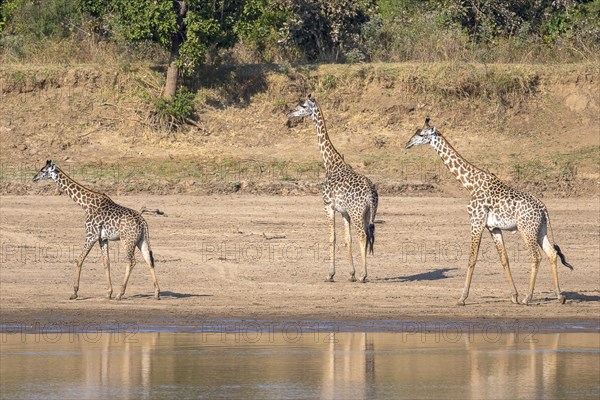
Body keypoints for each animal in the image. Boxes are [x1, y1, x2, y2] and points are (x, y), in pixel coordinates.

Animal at [32, 159, 159, 300]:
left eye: (43, 170)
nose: (34, 178)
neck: (86, 204)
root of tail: (143, 223)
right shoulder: (102, 238)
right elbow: (106, 263)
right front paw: (108, 292)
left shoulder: (90, 235)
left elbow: (79, 259)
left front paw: (74, 292)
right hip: (142, 240)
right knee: (149, 260)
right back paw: (157, 293)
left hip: (127, 240)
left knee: (132, 261)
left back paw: (120, 294)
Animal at [288, 95, 378, 282]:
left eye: (303, 105)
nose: (290, 112)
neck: (331, 163)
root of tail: (370, 193)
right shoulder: (344, 212)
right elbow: (346, 239)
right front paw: (351, 273)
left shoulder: (328, 205)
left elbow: (332, 238)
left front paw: (330, 274)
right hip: (368, 213)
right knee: (368, 235)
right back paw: (361, 274)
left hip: (357, 212)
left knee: (362, 235)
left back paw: (364, 275)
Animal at [406, 117, 576, 304]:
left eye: (421, 134)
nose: (408, 143)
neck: (470, 184)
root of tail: (543, 208)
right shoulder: (493, 227)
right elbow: (504, 259)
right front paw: (514, 295)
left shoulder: (476, 221)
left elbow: (472, 258)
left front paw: (462, 298)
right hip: (540, 230)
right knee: (552, 254)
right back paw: (559, 296)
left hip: (527, 230)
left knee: (536, 256)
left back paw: (528, 297)